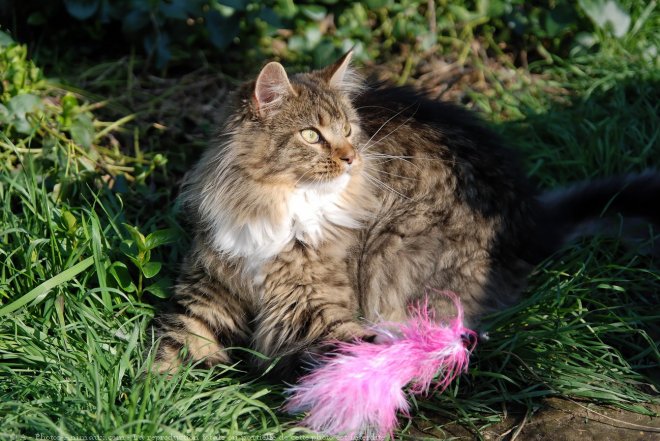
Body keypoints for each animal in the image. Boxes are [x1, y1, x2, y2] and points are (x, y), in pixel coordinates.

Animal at [151, 49, 660, 376]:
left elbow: (353, 343)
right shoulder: (208, 287)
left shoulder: (316, 303)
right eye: (312, 135)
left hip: (395, 248)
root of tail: (532, 217)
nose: (351, 158)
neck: (278, 202)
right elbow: (176, 344)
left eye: (349, 130)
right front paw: (154, 397)